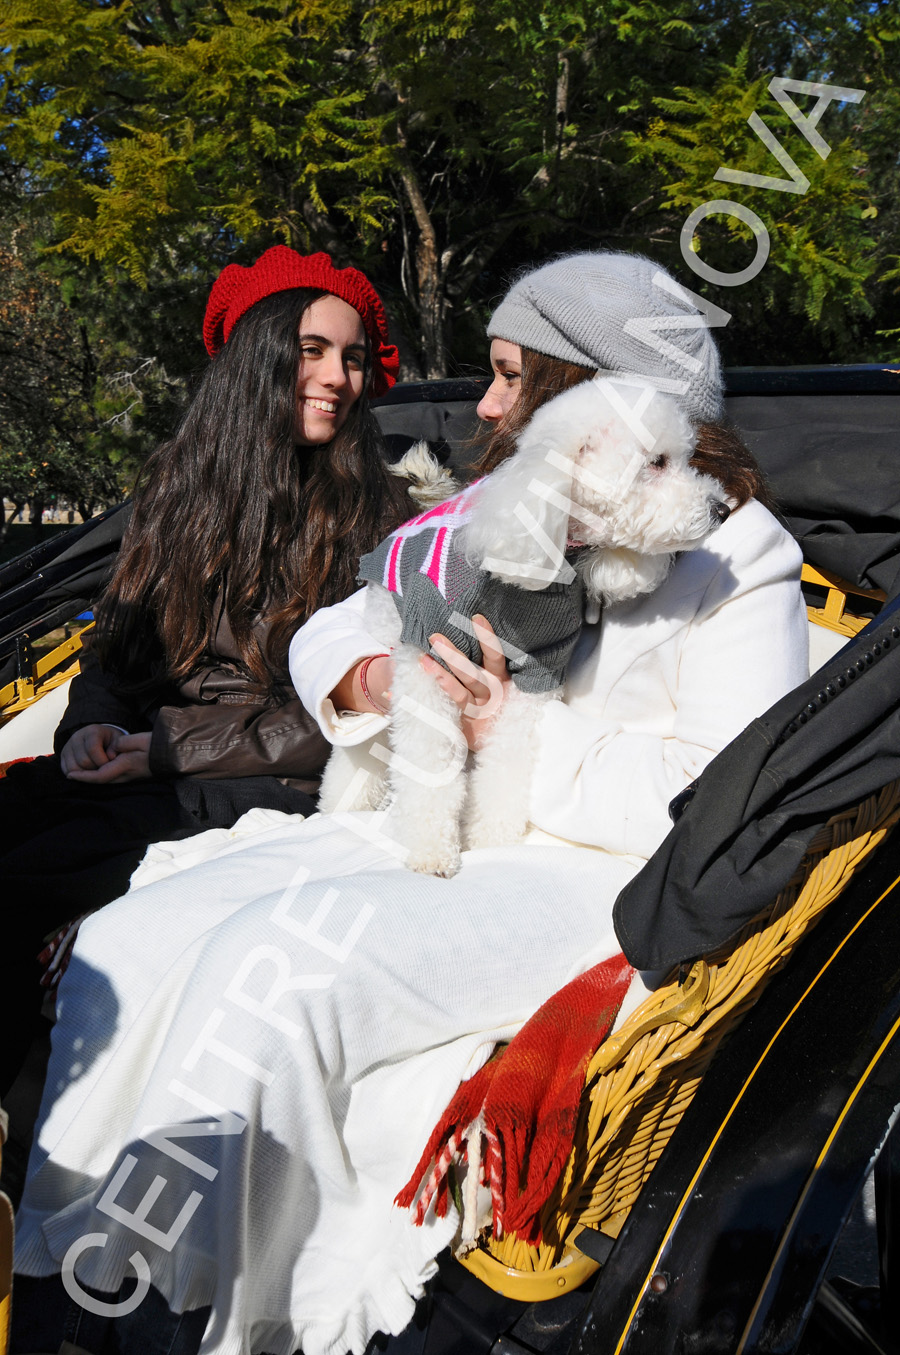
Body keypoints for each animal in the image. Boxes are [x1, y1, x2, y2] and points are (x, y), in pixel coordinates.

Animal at [319, 376, 726, 872]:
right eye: (658, 462)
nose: (722, 509)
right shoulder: (427, 661)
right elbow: (430, 761)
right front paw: (431, 850)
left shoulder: (536, 671)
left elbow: (508, 764)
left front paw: (489, 839)